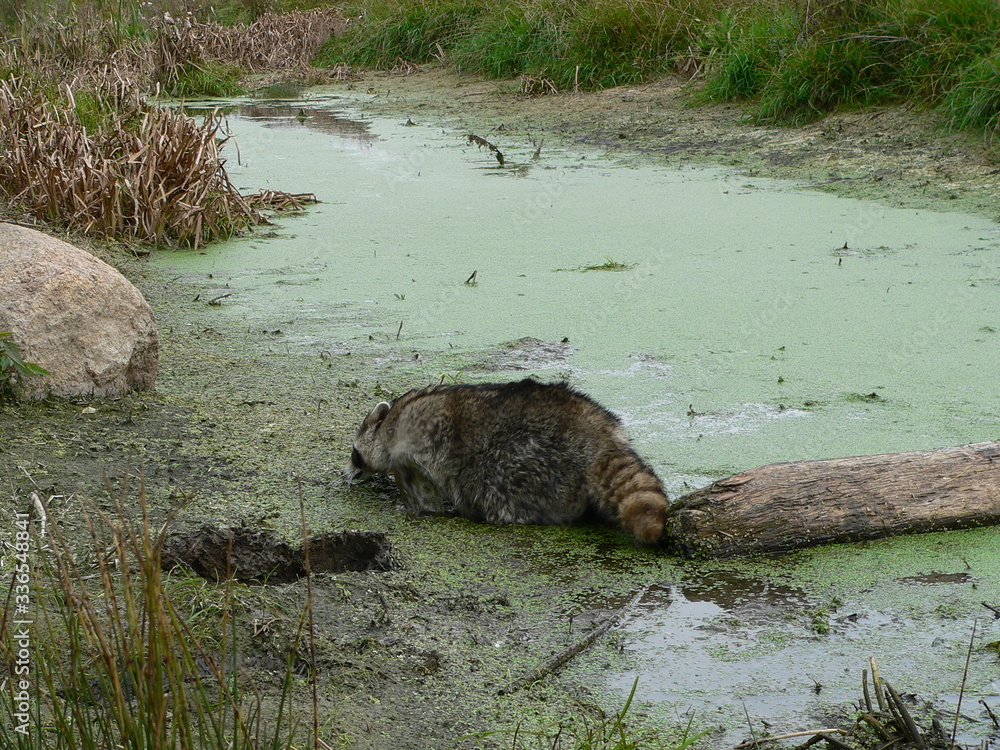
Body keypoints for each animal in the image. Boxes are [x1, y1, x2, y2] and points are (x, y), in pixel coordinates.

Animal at [343, 379, 668, 543]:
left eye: (354, 454)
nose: (346, 474)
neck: (389, 424)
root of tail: (597, 433)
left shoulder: (410, 452)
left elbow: (423, 493)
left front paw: (418, 509)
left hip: (530, 459)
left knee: (498, 482)